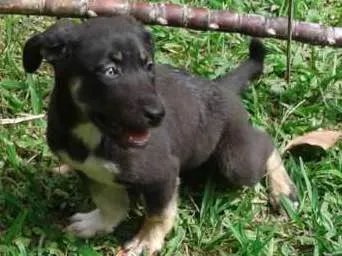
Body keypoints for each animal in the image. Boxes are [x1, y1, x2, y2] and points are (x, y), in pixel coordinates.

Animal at [23, 16, 296, 256]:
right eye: (110, 71)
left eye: (149, 66)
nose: (158, 115)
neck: (93, 134)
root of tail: (222, 88)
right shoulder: (91, 171)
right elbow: (109, 202)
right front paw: (98, 224)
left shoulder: (162, 174)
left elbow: (158, 214)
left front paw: (146, 241)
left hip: (236, 163)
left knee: (265, 143)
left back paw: (282, 190)